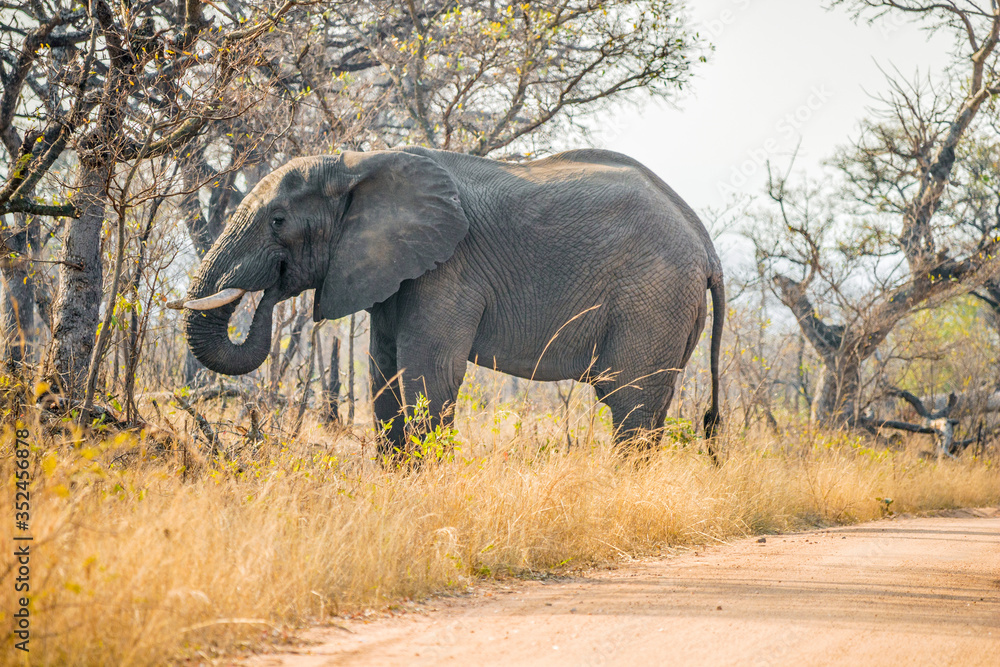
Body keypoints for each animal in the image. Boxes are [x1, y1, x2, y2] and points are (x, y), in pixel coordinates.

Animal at [175, 147, 725, 457]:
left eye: (278, 222)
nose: (270, 289)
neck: (355, 163)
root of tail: (706, 245)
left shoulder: (448, 270)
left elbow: (427, 375)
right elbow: (382, 376)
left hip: (653, 300)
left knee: (630, 404)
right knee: (650, 407)